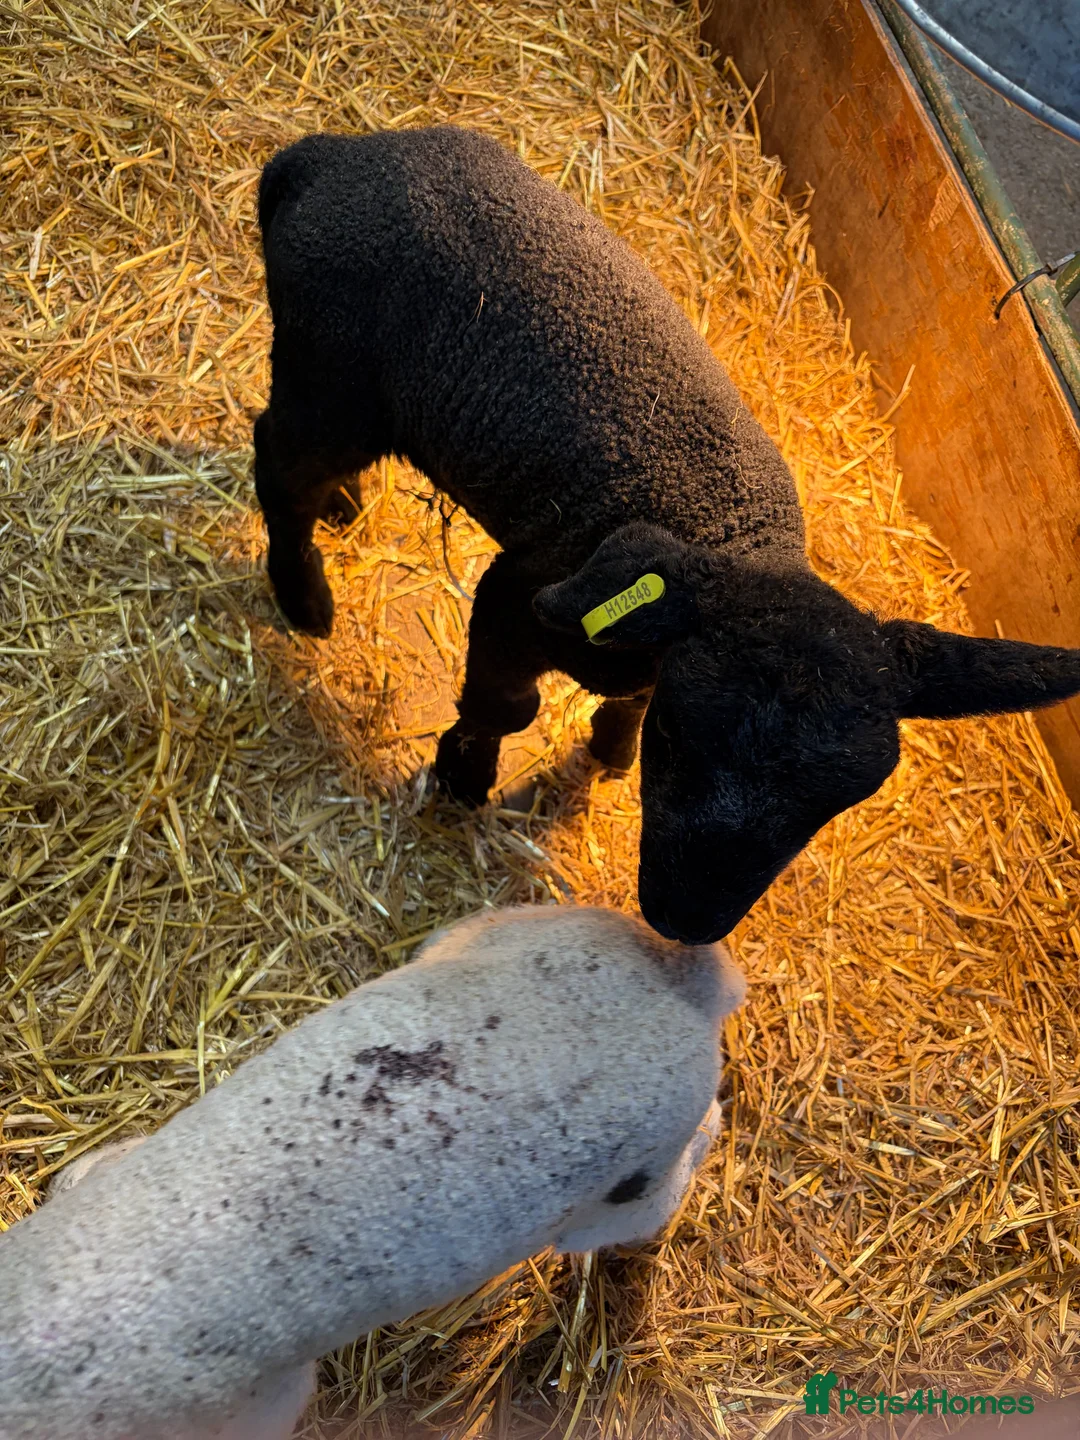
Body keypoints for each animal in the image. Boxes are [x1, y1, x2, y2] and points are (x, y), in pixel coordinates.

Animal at [253, 124, 1080, 945]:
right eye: (682, 742)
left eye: (831, 807)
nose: (686, 921)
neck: (729, 533)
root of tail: (323, 160)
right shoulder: (518, 595)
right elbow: (505, 705)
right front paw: (463, 776)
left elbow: (622, 704)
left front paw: (611, 747)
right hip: (332, 374)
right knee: (281, 461)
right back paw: (304, 597)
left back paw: (343, 507)